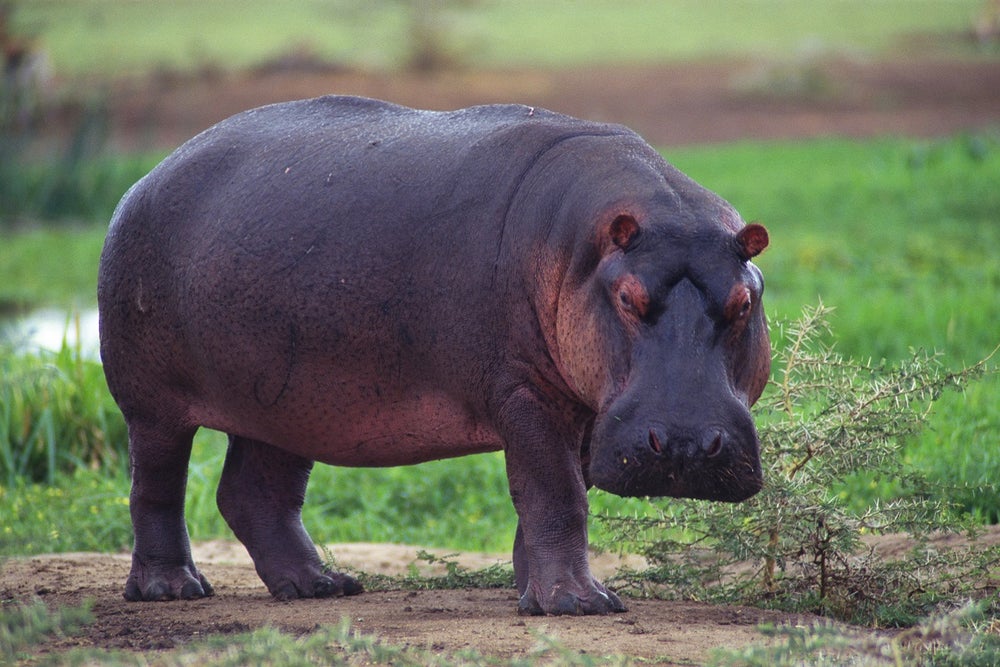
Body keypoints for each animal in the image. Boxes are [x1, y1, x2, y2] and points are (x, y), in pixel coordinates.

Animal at [99, 94, 772, 616]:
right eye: (628, 297)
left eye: (744, 300)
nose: (685, 444)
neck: (587, 249)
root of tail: (147, 177)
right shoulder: (525, 392)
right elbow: (557, 494)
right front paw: (578, 604)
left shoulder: (586, 410)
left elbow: (544, 499)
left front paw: (532, 593)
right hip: (151, 402)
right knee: (156, 485)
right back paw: (172, 590)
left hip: (286, 402)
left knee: (254, 493)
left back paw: (321, 586)